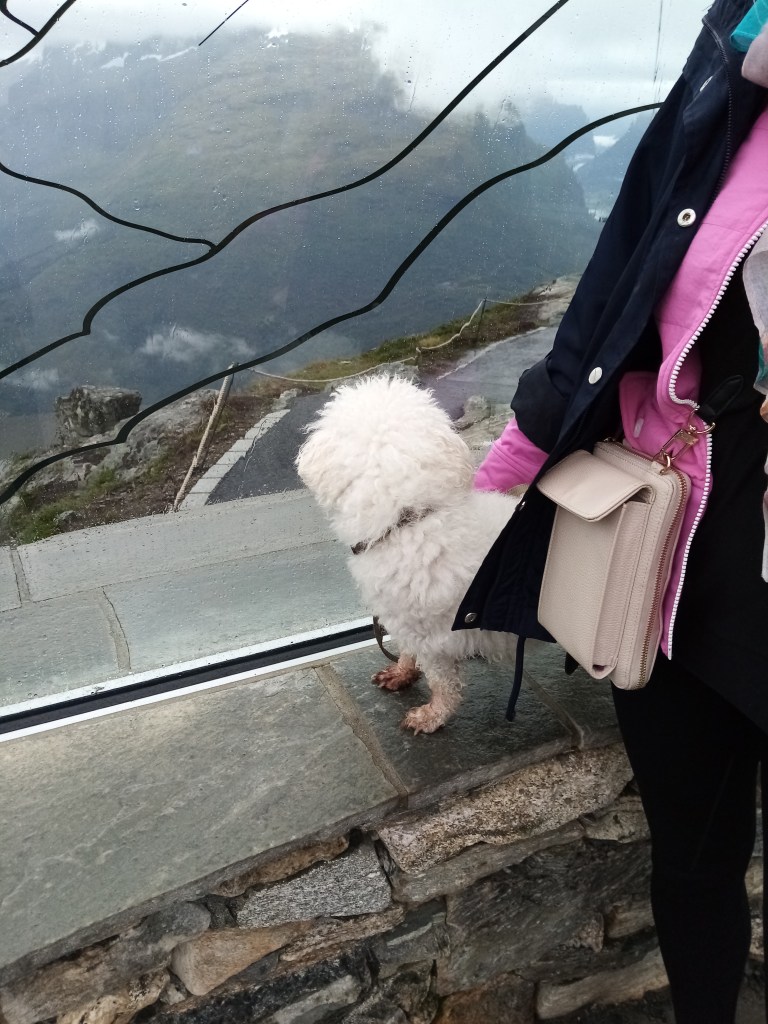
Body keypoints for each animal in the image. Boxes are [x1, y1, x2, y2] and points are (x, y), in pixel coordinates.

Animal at [295, 374, 521, 733]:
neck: (407, 521)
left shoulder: (432, 636)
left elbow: (443, 682)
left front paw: (432, 715)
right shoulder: (406, 622)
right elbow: (405, 651)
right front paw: (401, 672)